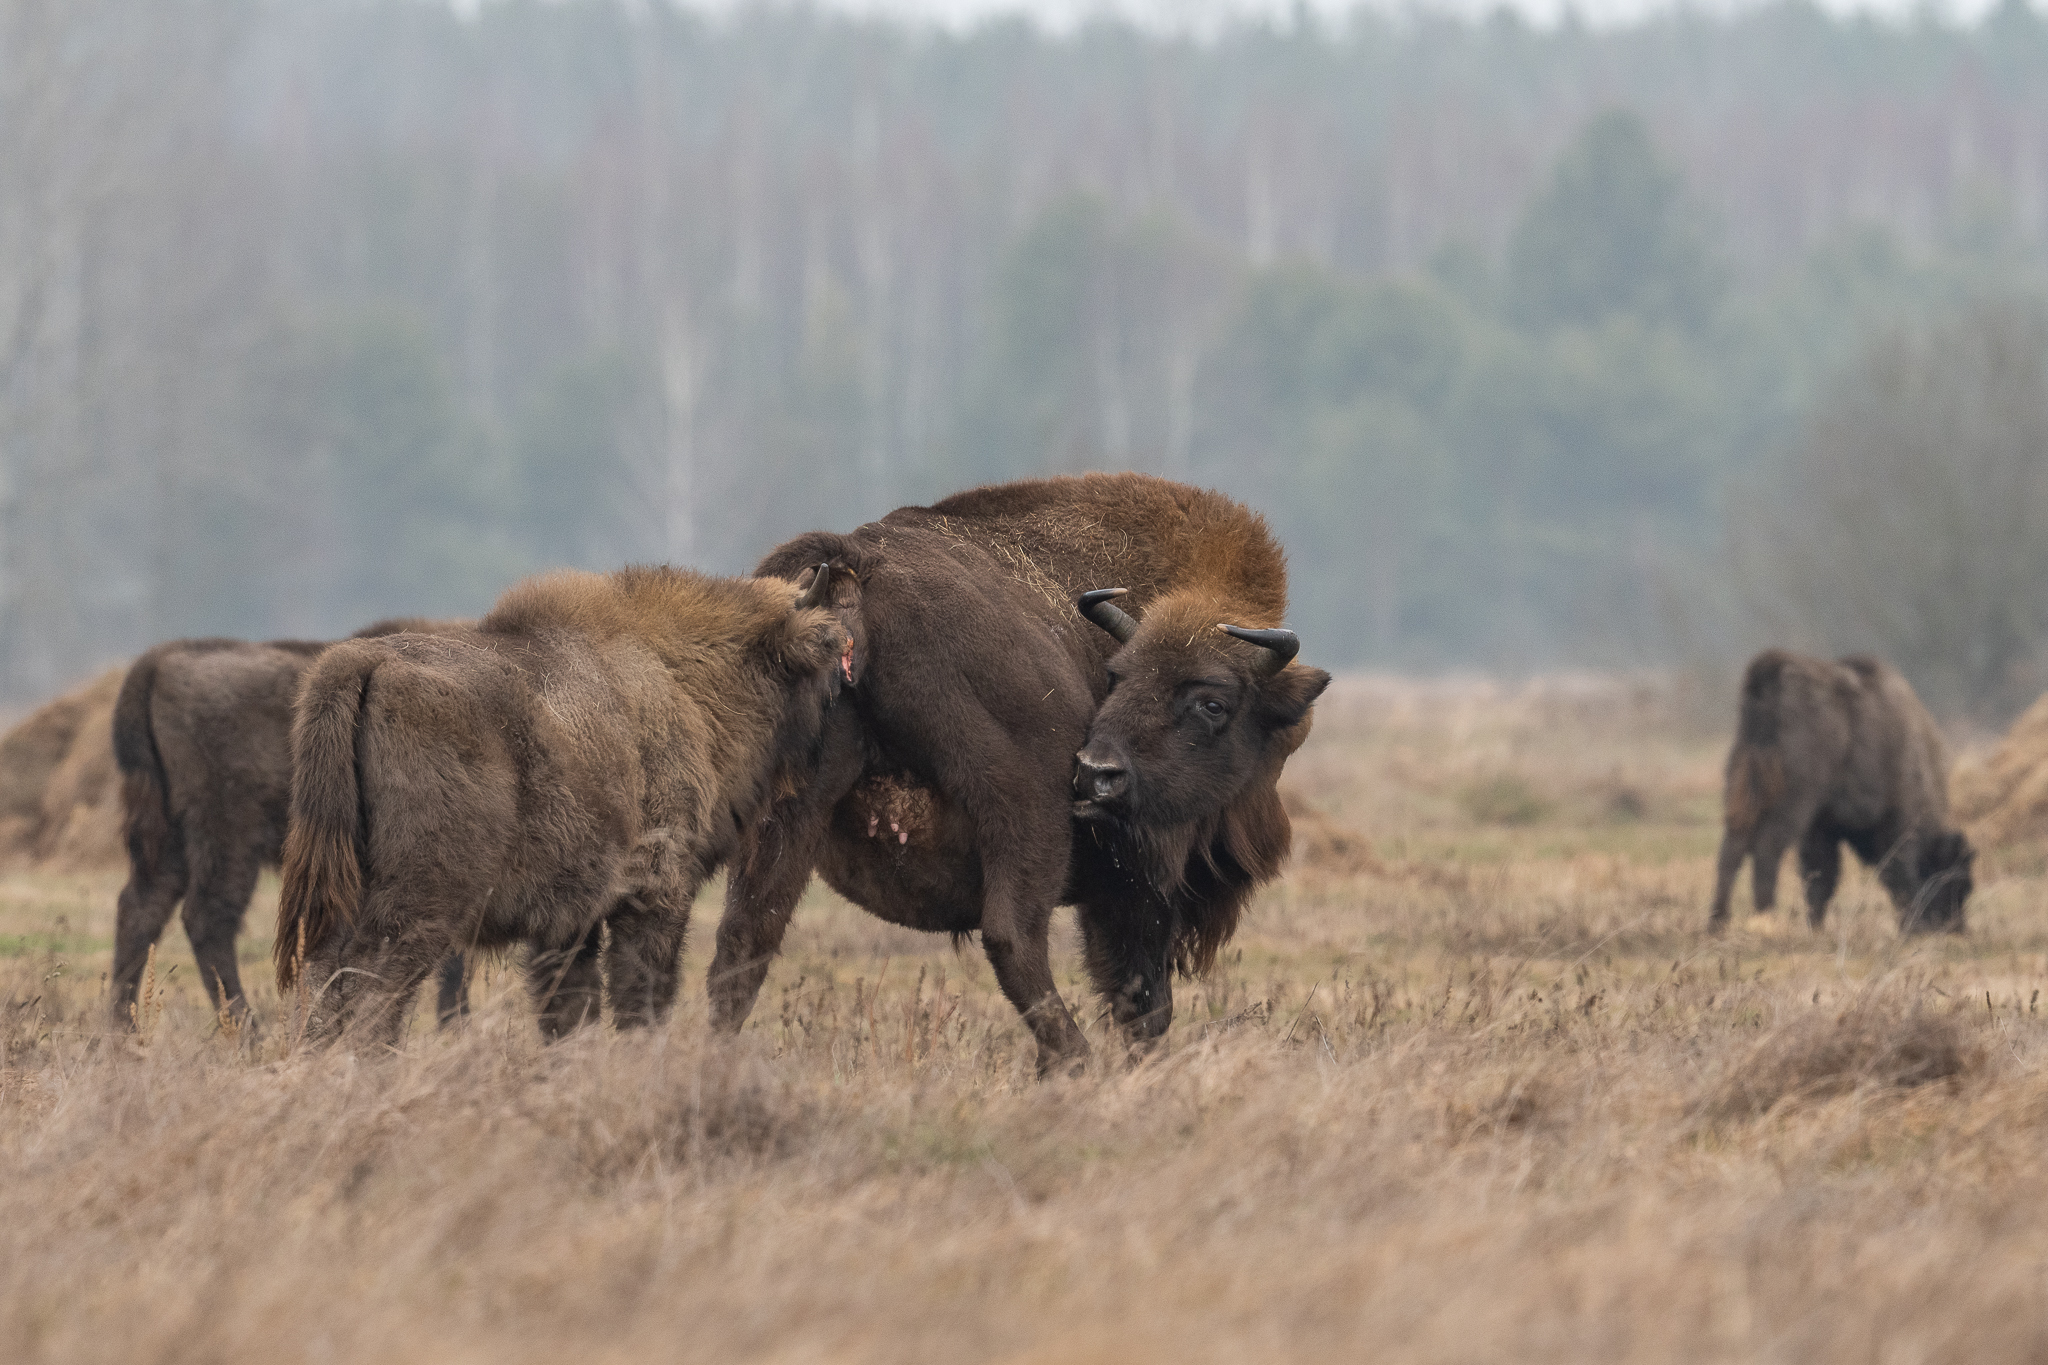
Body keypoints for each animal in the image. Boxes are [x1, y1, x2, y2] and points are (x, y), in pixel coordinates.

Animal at [110, 621, 468, 1029]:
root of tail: (158, 662)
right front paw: (456, 1025)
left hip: (170, 838)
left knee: (142, 908)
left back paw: (122, 1031)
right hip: (228, 837)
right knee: (207, 918)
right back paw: (248, 1030)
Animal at [276, 566, 844, 1045]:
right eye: (827, 670)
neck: (676, 677)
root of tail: (363, 661)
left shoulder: (569, 925)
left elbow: (571, 1011)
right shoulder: (657, 894)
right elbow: (641, 1000)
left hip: (345, 896)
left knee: (323, 987)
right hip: (419, 908)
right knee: (370, 997)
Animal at [707, 474, 1329, 1071]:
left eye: (1212, 703)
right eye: (1118, 676)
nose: (1097, 773)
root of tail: (853, 570)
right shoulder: (1133, 887)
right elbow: (1143, 1002)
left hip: (789, 809)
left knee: (746, 938)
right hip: (1028, 816)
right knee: (1013, 938)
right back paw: (1071, 1061)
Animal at [1708, 649, 1974, 935]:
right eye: (1959, 883)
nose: (1956, 927)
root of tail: (1773, 668)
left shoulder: (1821, 827)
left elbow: (1821, 879)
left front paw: (1816, 928)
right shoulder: (1896, 820)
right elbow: (1896, 872)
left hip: (1743, 783)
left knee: (1732, 849)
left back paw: (1717, 924)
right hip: (1792, 800)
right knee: (1766, 850)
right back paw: (1766, 919)